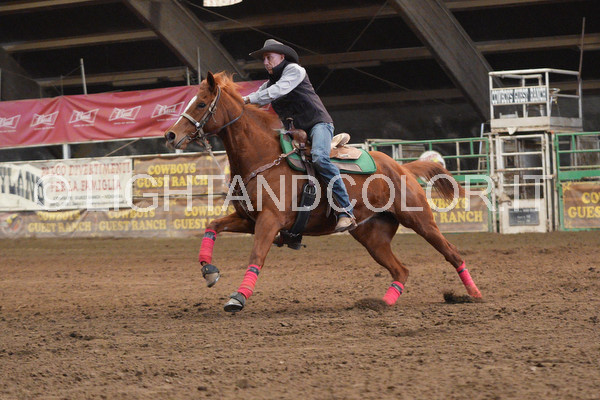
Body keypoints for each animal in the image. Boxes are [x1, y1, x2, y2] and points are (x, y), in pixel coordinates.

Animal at [164, 71, 482, 312]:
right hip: (372, 236)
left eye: (201, 103)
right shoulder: (248, 219)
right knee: (400, 270)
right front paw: (209, 272)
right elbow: (212, 225)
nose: (170, 135)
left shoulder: (269, 221)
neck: (263, 157)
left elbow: (256, 256)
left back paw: (474, 295)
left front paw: (238, 298)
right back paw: (381, 303)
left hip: (420, 220)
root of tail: (400, 167)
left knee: (452, 253)